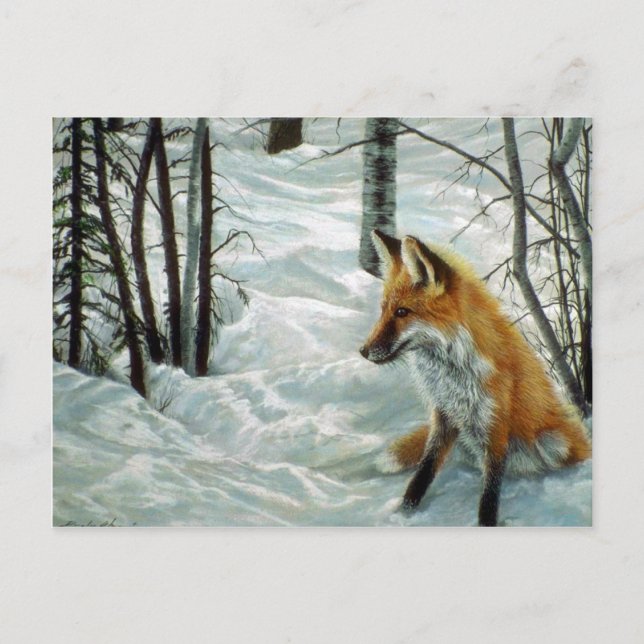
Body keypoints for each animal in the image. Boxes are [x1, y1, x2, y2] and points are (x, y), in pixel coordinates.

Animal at [360, 230, 591, 526]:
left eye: (402, 312)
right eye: (384, 310)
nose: (363, 351)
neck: (452, 373)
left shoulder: (494, 424)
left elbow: (489, 495)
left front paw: (487, 523)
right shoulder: (443, 416)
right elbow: (423, 472)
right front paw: (405, 511)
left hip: (554, 442)